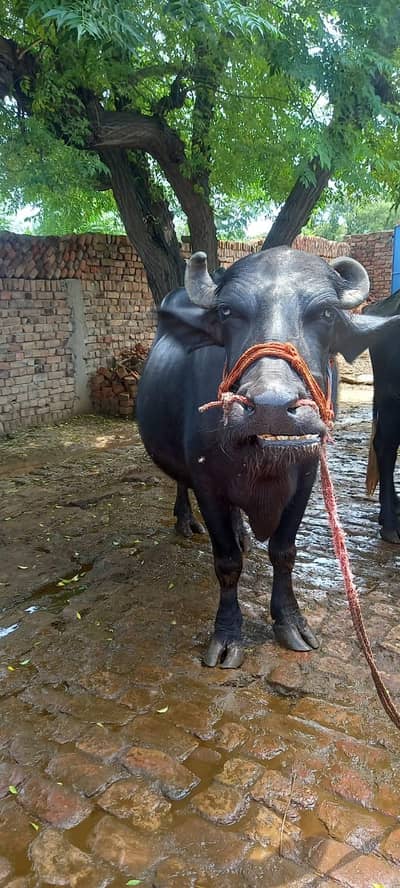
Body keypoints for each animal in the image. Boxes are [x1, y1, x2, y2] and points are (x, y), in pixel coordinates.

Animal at [137, 246, 398, 667]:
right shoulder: (207, 482)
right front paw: (227, 636)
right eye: (227, 312)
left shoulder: (306, 476)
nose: (271, 407)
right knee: (180, 483)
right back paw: (185, 521)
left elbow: (283, 551)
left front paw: (290, 622)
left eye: (327, 314)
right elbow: (227, 561)